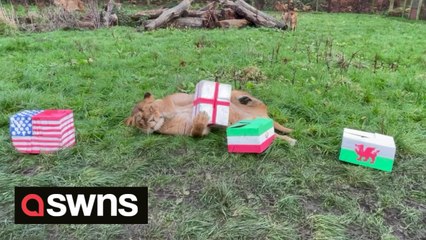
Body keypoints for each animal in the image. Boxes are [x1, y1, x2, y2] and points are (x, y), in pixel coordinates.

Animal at [123, 90, 296, 145]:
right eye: (140, 121)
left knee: (260, 104)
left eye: (150, 109)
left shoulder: (184, 98)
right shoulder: (195, 131)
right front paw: (200, 118)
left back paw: (245, 99)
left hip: (241, 102)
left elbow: (168, 102)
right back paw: (290, 140)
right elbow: (197, 131)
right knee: (273, 133)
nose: (150, 121)